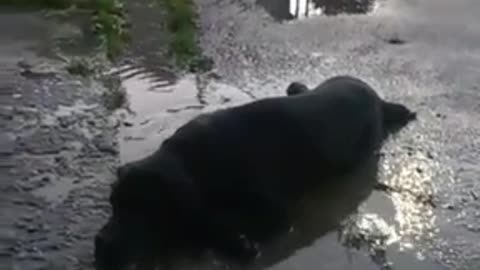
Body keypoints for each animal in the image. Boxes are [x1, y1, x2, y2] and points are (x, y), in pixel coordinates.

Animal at [94, 75, 416, 270]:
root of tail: (378, 99)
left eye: (143, 210)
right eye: (113, 204)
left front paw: (231, 239)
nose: (101, 245)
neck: (194, 164)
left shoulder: (277, 212)